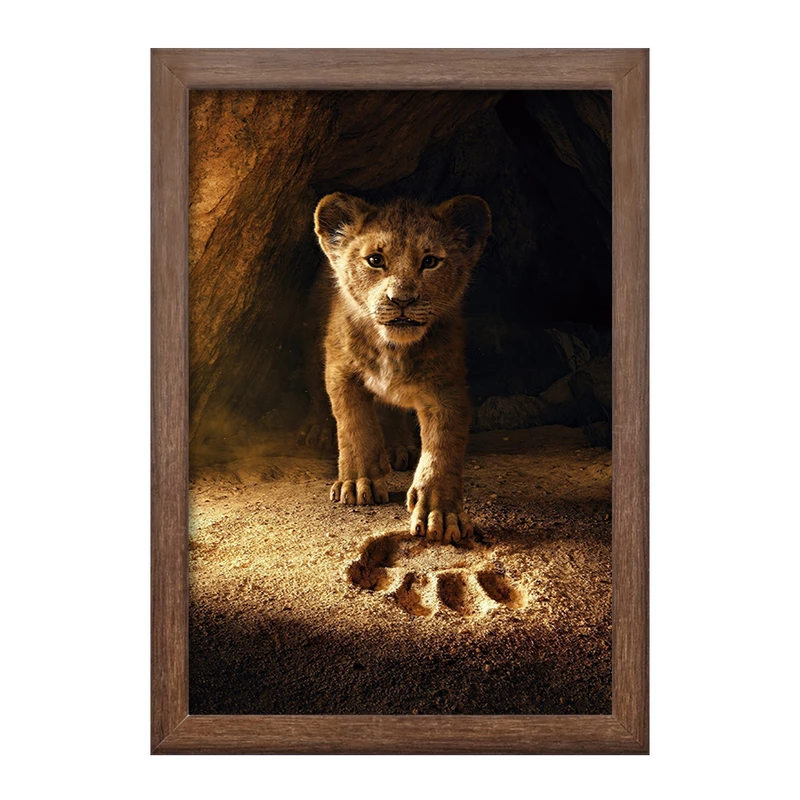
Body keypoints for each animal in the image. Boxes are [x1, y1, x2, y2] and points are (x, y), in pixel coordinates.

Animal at [311, 193, 491, 543]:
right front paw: (359, 482)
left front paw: (441, 513)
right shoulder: (340, 370)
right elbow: (355, 425)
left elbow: (442, 449)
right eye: (374, 260)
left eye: (430, 261)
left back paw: (399, 448)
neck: (393, 348)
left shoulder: (446, 389)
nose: (402, 300)